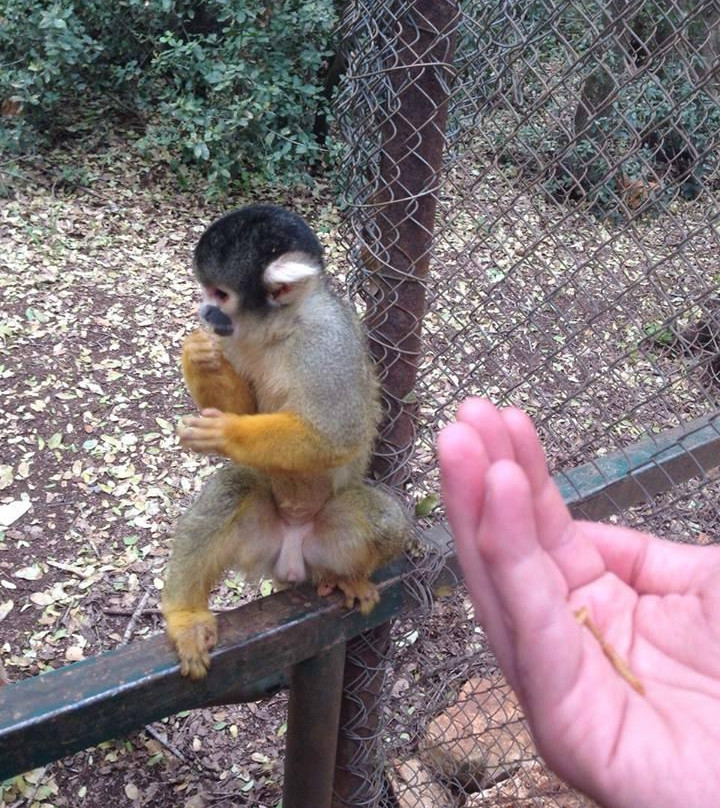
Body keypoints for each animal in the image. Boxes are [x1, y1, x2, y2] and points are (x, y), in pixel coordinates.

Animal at [162, 204, 408, 679]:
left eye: (219, 294)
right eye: (206, 293)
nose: (204, 311)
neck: (283, 327)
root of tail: (292, 558)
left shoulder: (326, 343)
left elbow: (336, 433)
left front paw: (226, 433)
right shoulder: (234, 339)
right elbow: (242, 403)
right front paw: (198, 356)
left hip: (326, 541)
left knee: (388, 521)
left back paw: (348, 577)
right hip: (261, 538)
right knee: (233, 487)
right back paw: (185, 616)